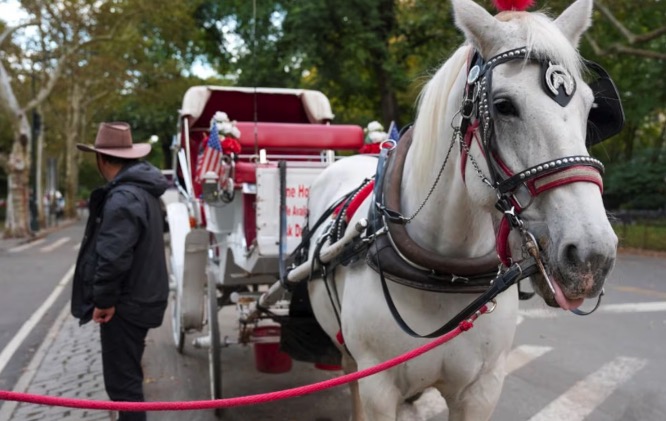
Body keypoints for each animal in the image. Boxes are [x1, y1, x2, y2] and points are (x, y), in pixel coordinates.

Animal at [304, 0, 619, 420]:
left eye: (589, 107)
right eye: (503, 106)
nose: (590, 257)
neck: (443, 273)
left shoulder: (482, 389)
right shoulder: (379, 388)